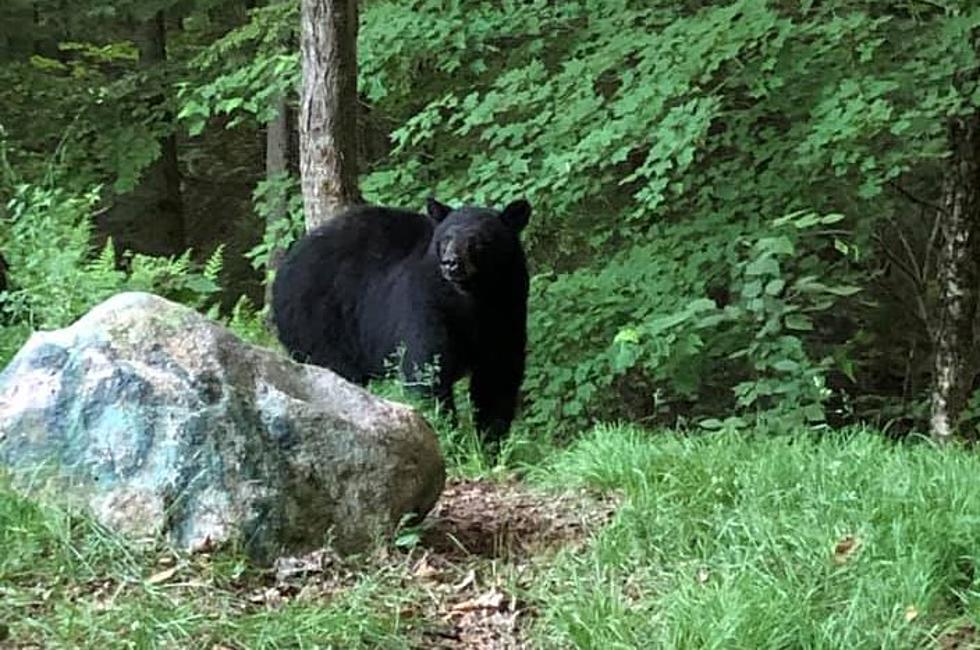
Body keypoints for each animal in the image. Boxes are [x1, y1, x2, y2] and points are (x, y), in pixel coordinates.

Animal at [272, 196, 532, 440]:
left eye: (477, 241)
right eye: (446, 238)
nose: (451, 263)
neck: (471, 300)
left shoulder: (507, 312)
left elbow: (496, 378)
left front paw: (490, 442)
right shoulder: (427, 305)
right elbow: (426, 370)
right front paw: (447, 437)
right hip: (318, 322)